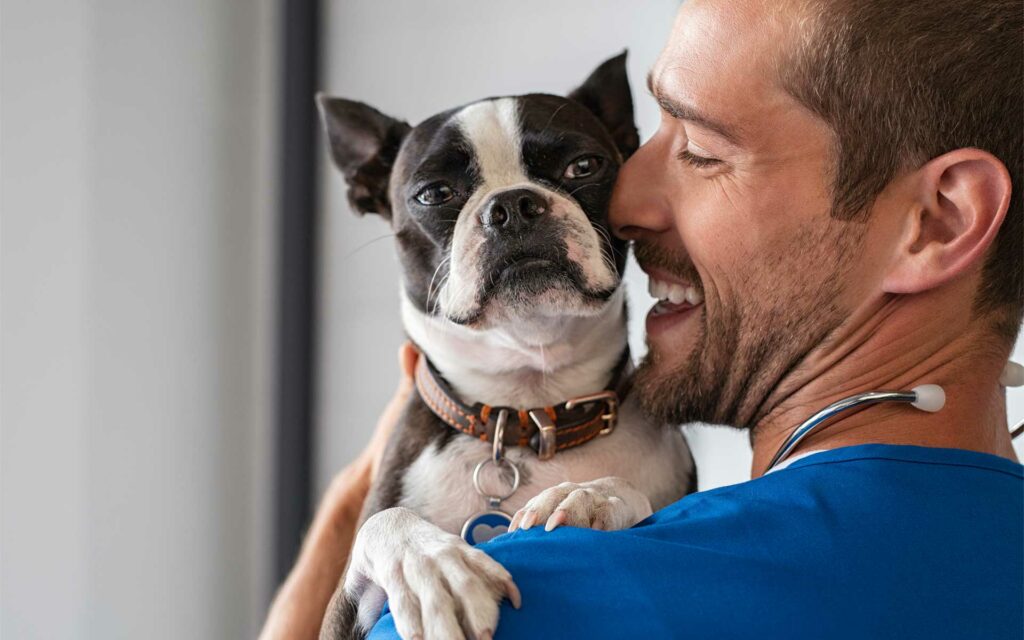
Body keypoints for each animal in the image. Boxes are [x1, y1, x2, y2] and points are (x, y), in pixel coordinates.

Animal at [315, 54, 692, 638]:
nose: (513, 204)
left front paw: (587, 495)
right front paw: (431, 565)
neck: (525, 410)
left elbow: (629, 490)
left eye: (584, 166)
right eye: (434, 193)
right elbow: (385, 521)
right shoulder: (337, 616)